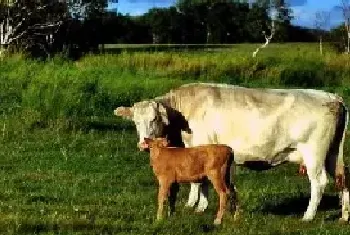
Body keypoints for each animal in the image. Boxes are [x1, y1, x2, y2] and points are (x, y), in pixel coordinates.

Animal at [113, 83, 348, 222]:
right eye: (135, 121)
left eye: (154, 119)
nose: (143, 144)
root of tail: (330, 96)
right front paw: (197, 205)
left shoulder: (202, 145)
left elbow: (199, 181)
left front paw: (197, 205)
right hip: (333, 153)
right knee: (343, 178)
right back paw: (344, 215)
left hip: (314, 152)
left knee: (319, 182)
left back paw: (308, 216)